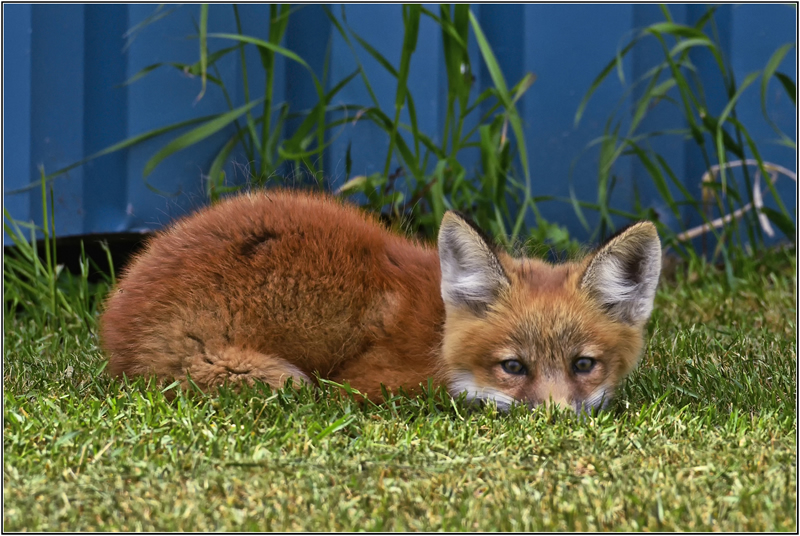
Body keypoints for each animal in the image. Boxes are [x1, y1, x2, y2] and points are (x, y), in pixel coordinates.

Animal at [100, 189, 662, 412]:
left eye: (584, 364)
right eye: (512, 367)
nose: (554, 418)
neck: (437, 336)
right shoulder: (374, 383)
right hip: (281, 379)